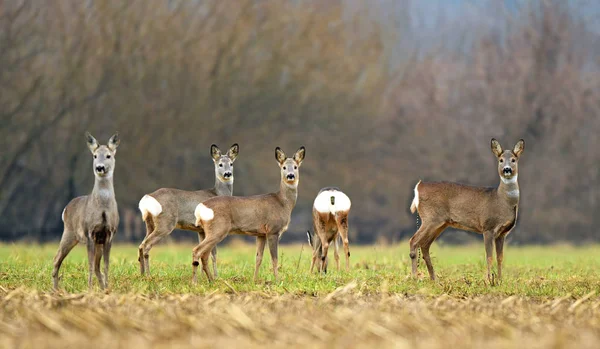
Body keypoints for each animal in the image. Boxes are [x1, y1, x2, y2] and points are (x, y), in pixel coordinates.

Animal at [52, 132, 120, 290]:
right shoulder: (89, 232)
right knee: (56, 259)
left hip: (95, 242)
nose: (100, 167)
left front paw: (107, 289)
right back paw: (56, 290)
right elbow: (89, 264)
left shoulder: (110, 234)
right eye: (95, 156)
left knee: (97, 266)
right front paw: (89, 289)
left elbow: (106, 265)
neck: (102, 209)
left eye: (108, 155)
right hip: (69, 233)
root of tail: (65, 209)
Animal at [137, 143, 238, 276]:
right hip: (165, 222)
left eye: (231, 163)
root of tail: (147, 198)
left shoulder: (200, 230)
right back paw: (149, 275)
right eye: (220, 164)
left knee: (141, 245)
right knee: (147, 245)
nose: (227, 174)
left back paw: (142, 274)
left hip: (149, 223)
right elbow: (214, 254)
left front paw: (202, 276)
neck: (217, 193)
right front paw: (216, 276)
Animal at [192, 145, 304, 282]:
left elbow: (258, 258)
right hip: (218, 229)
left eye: (295, 166)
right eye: (284, 167)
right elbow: (274, 259)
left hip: (207, 231)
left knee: (204, 255)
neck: (283, 203)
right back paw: (196, 282)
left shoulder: (261, 233)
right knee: (197, 251)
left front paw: (254, 280)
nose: (290, 175)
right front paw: (278, 281)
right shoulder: (273, 230)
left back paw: (211, 281)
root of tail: (200, 207)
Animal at [410, 137, 524, 282]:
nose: (507, 169)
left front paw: (499, 281)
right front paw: (489, 280)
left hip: (440, 223)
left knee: (425, 245)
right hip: (430, 218)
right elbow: (489, 257)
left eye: (513, 160)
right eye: (501, 160)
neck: (502, 201)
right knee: (414, 241)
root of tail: (419, 186)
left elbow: (500, 258)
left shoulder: (502, 233)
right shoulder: (487, 227)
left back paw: (434, 280)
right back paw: (415, 278)